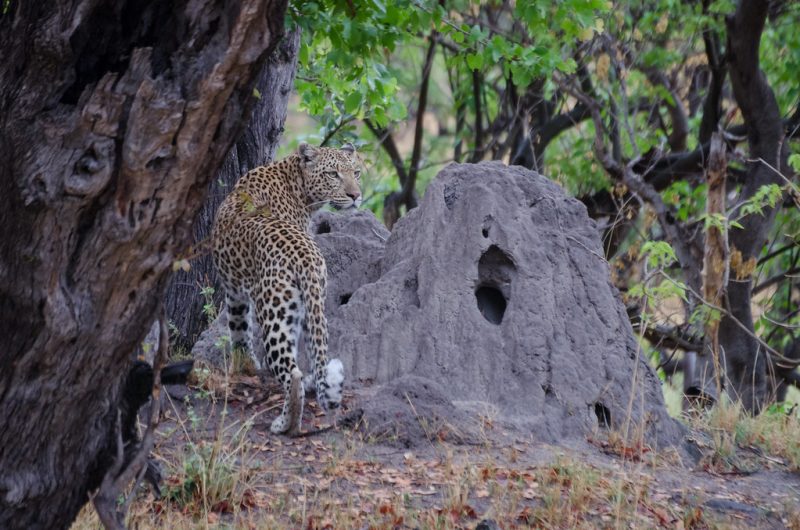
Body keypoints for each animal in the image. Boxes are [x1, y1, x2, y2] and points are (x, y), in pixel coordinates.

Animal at [211, 142, 361, 435]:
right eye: (333, 174)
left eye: (357, 172)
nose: (356, 196)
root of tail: (304, 256)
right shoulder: (235, 290)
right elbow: (239, 330)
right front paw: (245, 366)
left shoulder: (236, 291)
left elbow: (239, 328)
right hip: (310, 306)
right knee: (312, 359)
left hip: (276, 314)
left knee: (293, 374)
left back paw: (285, 422)